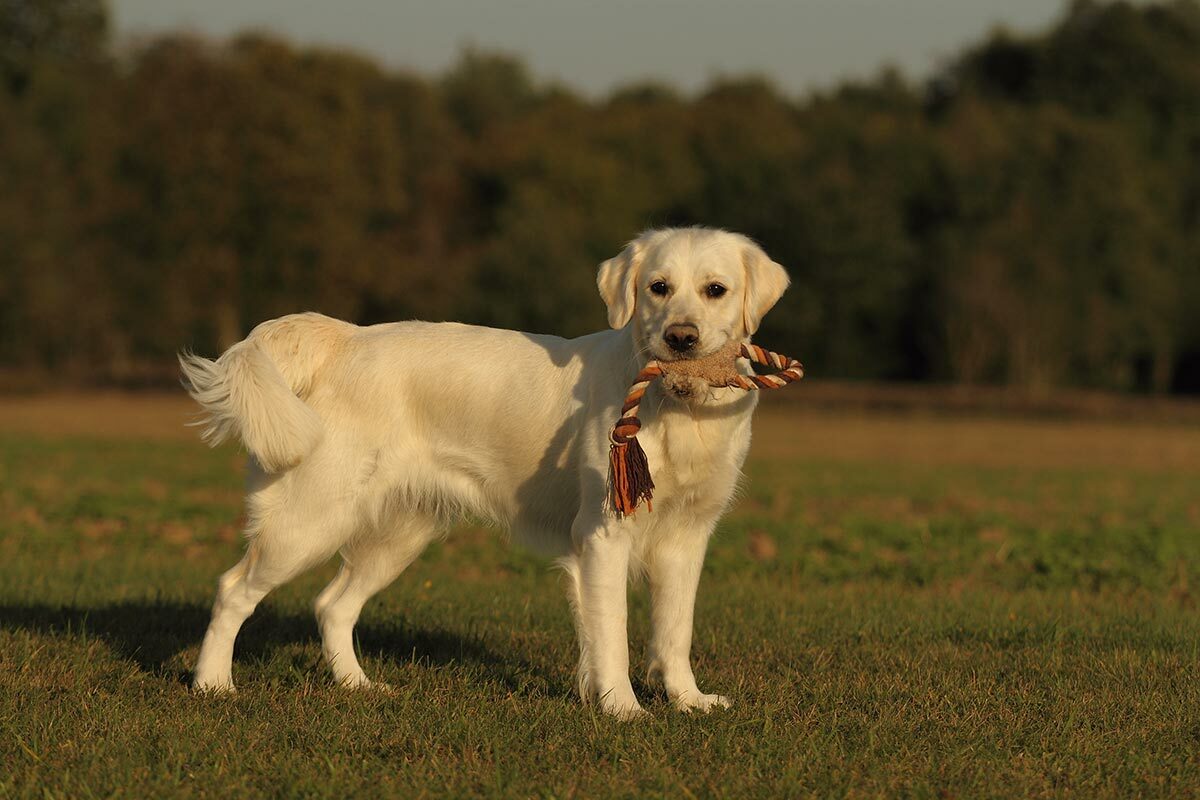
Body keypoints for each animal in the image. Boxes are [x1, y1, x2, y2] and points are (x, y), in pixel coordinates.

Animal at [180, 225, 787, 719]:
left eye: (715, 290)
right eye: (658, 287)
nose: (680, 338)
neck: (679, 410)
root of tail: (346, 339)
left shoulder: (687, 538)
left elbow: (675, 632)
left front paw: (688, 701)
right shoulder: (603, 535)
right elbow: (613, 635)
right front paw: (623, 710)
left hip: (399, 534)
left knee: (332, 605)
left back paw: (358, 686)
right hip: (308, 522)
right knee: (232, 590)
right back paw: (212, 684)